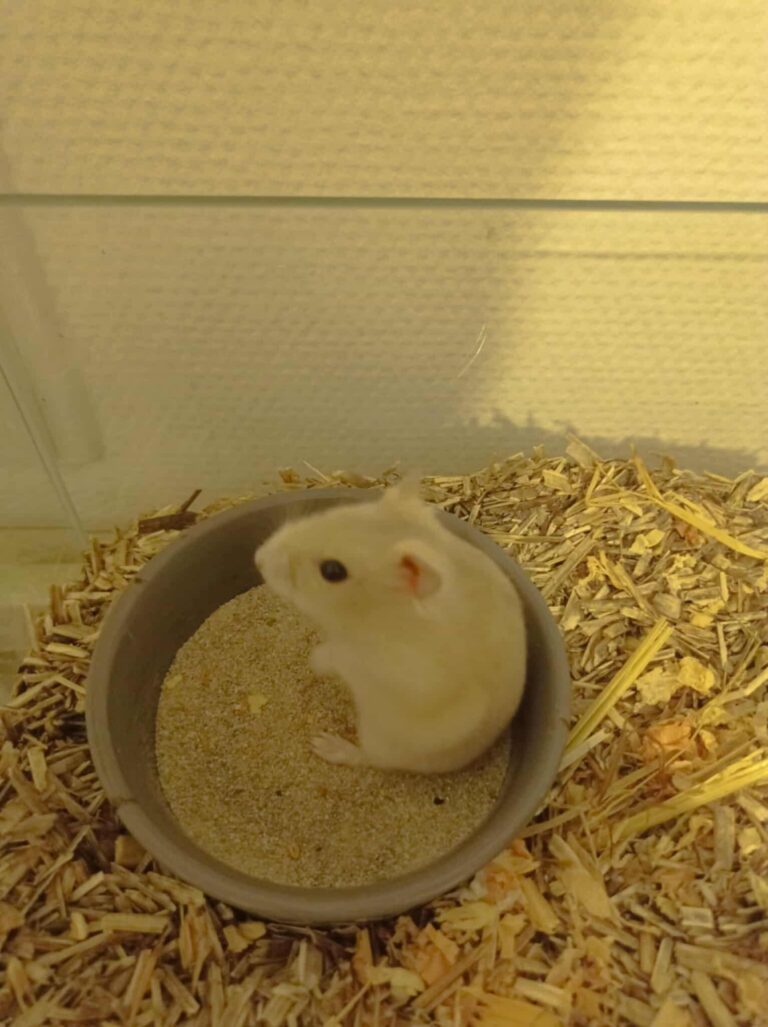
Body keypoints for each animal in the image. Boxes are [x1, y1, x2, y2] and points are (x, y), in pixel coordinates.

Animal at [254, 481, 526, 774]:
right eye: (332, 513)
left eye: (332, 571)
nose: (258, 558)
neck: (373, 613)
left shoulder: (382, 666)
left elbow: (335, 656)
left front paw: (313, 661)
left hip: (381, 738)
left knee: (369, 758)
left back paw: (324, 744)